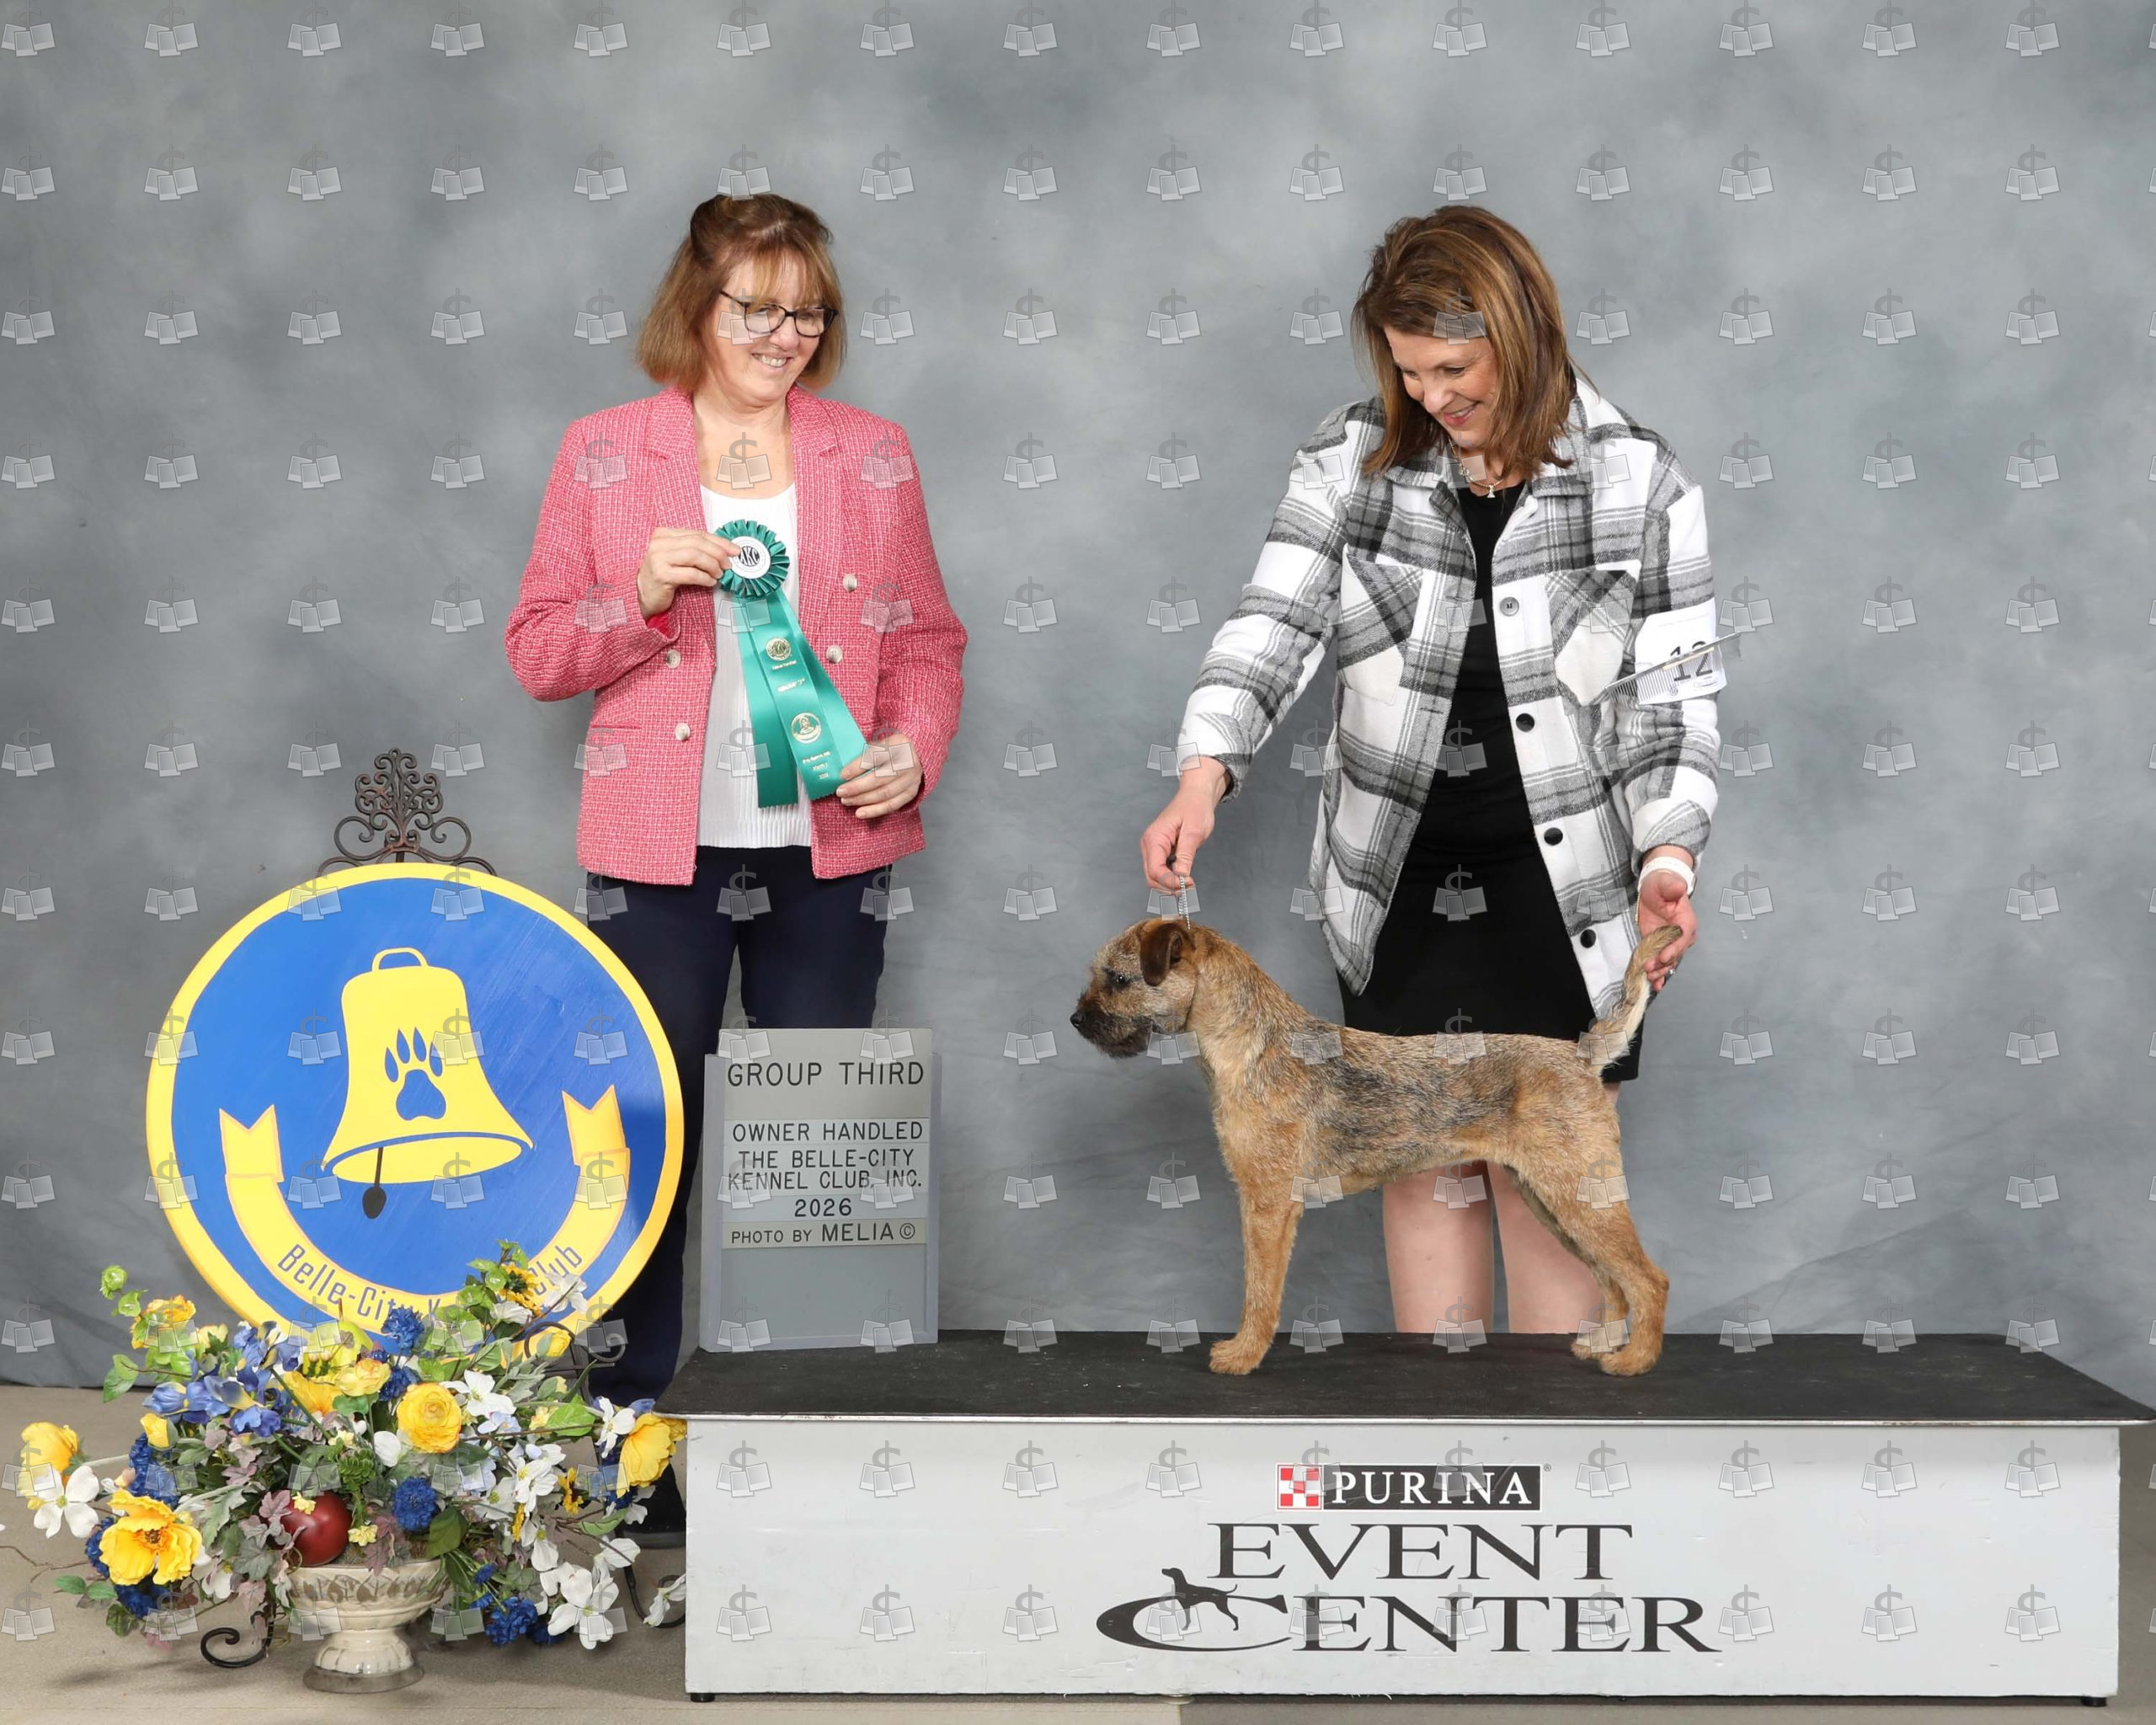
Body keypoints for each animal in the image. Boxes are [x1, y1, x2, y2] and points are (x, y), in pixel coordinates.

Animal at [1069, 916, 1679, 1377]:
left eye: (1118, 979)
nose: (1076, 1019)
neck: (1250, 1044)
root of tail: (1581, 1055)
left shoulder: (1268, 1204)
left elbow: (1260, 1291)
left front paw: (1242, 1355)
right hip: (1553, 1201)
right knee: (1611, 1277)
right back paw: (1602, 1342)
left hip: (1577, 1195)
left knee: (1648, 1279)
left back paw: (1635, 1360)